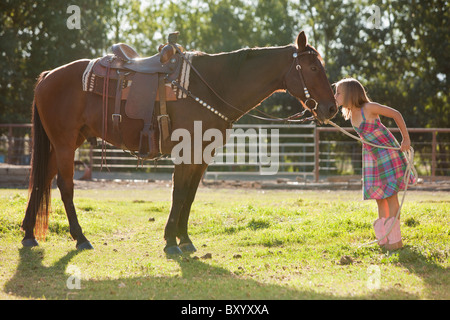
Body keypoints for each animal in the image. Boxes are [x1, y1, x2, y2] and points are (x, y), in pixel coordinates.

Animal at [22, 30, 338, 255]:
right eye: (312, 68)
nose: (332, 108)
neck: (212, 85)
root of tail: (47, 76)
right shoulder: (187, 151)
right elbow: (179, 193)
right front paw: (171, 241)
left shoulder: (203, 153)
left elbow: (190, 194)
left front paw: (183, 238)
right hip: (64, 143)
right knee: (65, 186)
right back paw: (80, 238)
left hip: (66, 142)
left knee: (42, 179)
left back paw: (28, 234)